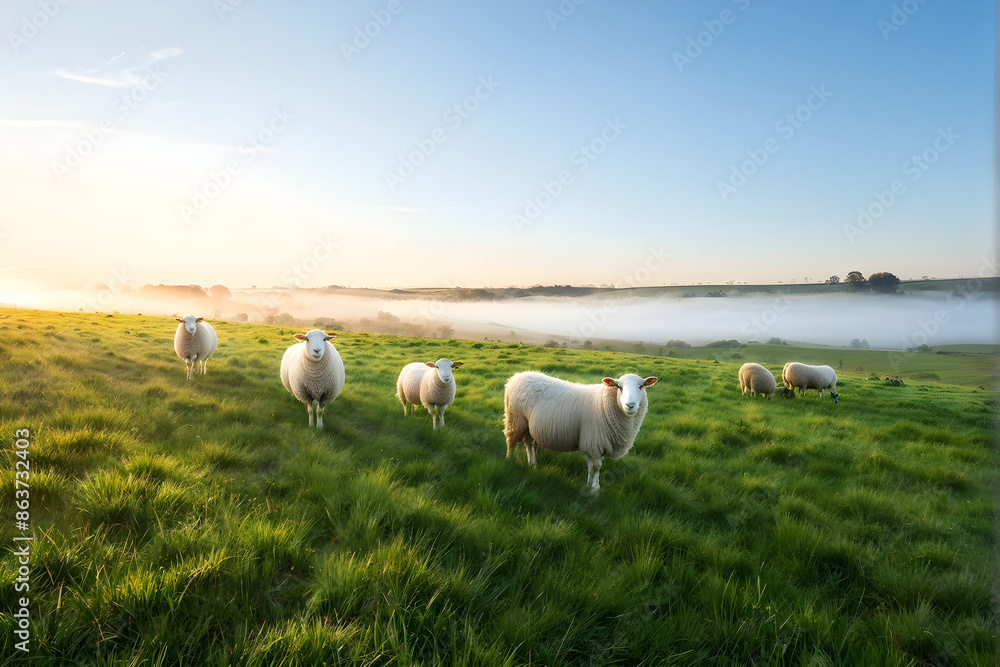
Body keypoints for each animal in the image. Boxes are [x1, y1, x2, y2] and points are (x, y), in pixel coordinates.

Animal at [503, 371, 658, 494]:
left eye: (641, 386)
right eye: (618, 386)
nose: (630, 405)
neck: (605, 403)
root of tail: (516, 376)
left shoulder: (593, 442)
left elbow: (590, 466)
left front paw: (589, 484)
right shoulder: (594, 441)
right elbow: (596, 466)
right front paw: (595, 490)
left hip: (527, 425)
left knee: (528, 443)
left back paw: (533, 464)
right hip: (516, 419)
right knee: (511, 441)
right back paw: (509, 460)